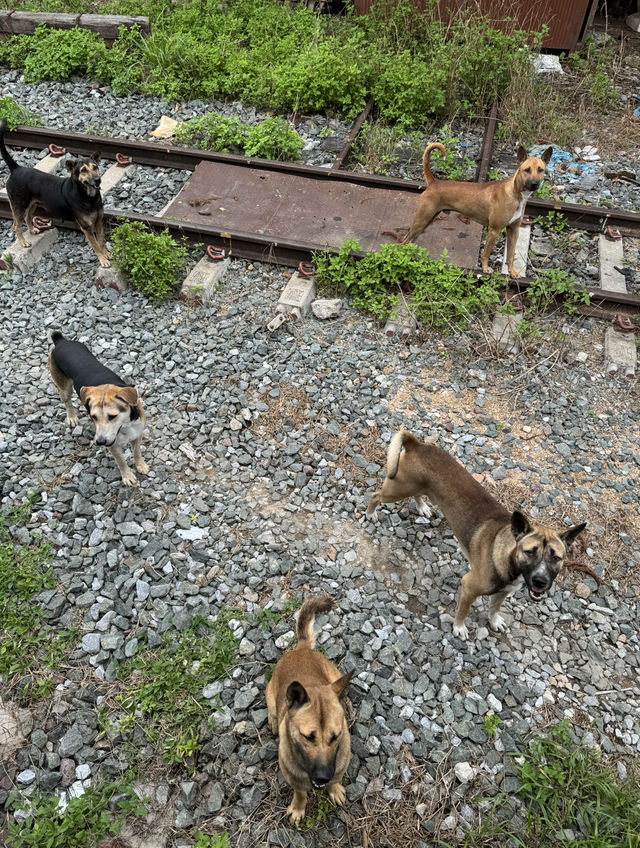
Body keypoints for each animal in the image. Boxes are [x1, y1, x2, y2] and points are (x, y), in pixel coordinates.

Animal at [0, 117, 110, 264]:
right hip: (18, 205)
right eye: (83, 170)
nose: (98, 180)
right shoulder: (86, 227)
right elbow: (95, 244)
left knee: (28, 217)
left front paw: (106, 254)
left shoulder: (99, 221)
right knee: (16, 225)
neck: (88, 196)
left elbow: (101, 241)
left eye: (95, 167)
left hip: (32, 204)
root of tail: (16, 168)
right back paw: (23, 242)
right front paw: (102, 260)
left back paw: (32, 230)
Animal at [48, 332, 149, 490]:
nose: (100, 442)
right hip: (63, 385)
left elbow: (137, 452)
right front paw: (127, 476)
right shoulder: (113, 445)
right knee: (67, 401)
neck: (125, 425)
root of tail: (61, 341)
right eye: (93, 417)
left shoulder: (137, 434)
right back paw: (71, 417)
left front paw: (140, 465)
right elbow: (121, 461)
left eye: (112, 416)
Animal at [266, 596, 356, 820]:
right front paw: (299, 807)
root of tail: (302, 649)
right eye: (308, 737)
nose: (323, 778)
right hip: (270, 694)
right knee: (272, 710)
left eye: (336, 736)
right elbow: (299, 793)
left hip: (334, 676)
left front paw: (333, 789)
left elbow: (336, 780)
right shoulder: (294, 778)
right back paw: (273, 720)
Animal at [368, 430, 588, 644]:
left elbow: (494, 607)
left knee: (417, 494)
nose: (541, 581)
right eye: (530, 552)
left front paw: (494, 621)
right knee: (375, 496)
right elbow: (463, 611)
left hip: (416, 487)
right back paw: (370, 514)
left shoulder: (504, 591)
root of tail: (416, 444)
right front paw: (459, 628)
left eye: (556, 557)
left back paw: (422, 507)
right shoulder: (469, 587)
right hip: (396, 490)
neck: (509, 559)